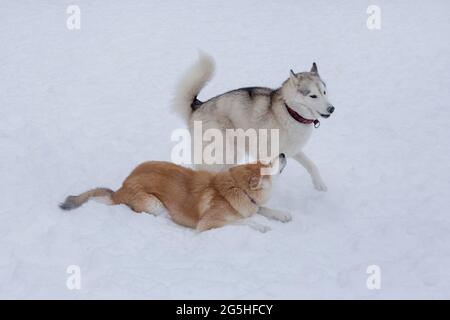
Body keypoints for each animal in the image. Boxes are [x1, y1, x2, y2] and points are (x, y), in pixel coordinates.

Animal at [59, 154, 288, 231]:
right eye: (268, 164)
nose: (283, 154)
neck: (236, 188)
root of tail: (121, 188)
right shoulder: (207, 223)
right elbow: (244, 221)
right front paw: (261, 226)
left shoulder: (251, 205)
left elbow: (262, 209)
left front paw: (282, 214)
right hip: (154, 204)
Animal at [172, 53, 334, 191]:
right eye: (313, 96)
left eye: (324, 92)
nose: (331, 109)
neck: (289, 111)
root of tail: (198, 106)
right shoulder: (267, 154)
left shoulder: (292, 150)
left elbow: (311, 164)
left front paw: (319, 184)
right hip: (224, 151)